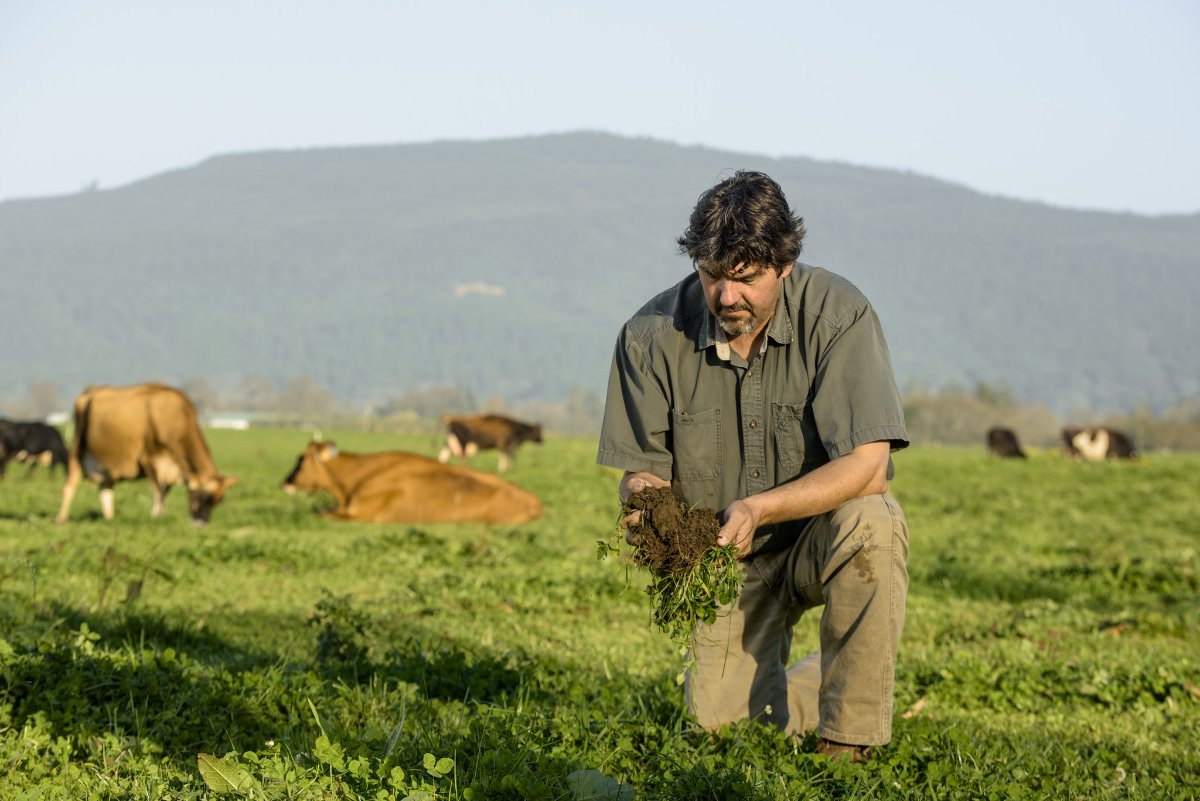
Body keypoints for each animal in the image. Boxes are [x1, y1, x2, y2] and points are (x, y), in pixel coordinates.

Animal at [54, 383, 236, 525]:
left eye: (219, 500)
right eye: (204, 495)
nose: (202, 523)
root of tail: (90, 390)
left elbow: (164, 492)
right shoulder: (150, 458)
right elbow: (158, 493)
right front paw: (157, 517)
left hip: (107, 462)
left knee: (105, 490)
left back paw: (110, 520)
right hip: (77, 449)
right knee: (70, 485)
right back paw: (61, 519)